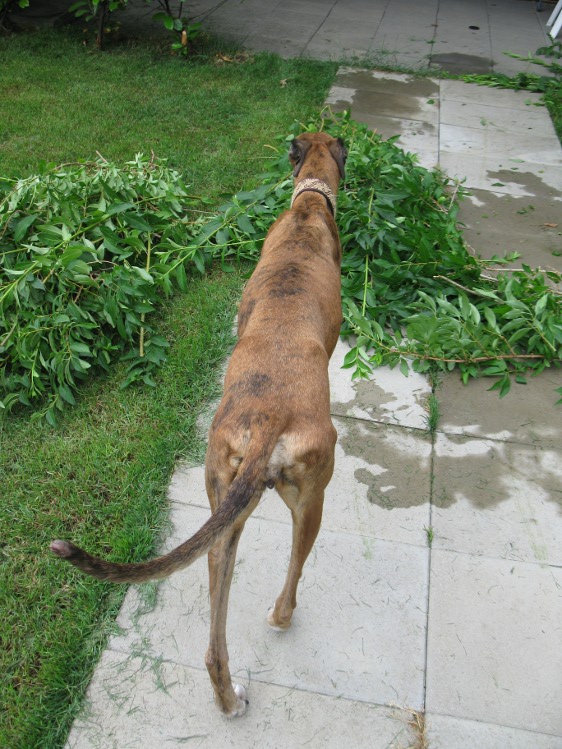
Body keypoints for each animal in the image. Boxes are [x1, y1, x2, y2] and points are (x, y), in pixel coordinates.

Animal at [51, 131, 346, 716]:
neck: (308, 209)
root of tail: (269, 420)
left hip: (222, 500)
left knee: (213, 628)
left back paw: (228, 699)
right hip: (311, 499)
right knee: (291, 577)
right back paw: (279, 621)